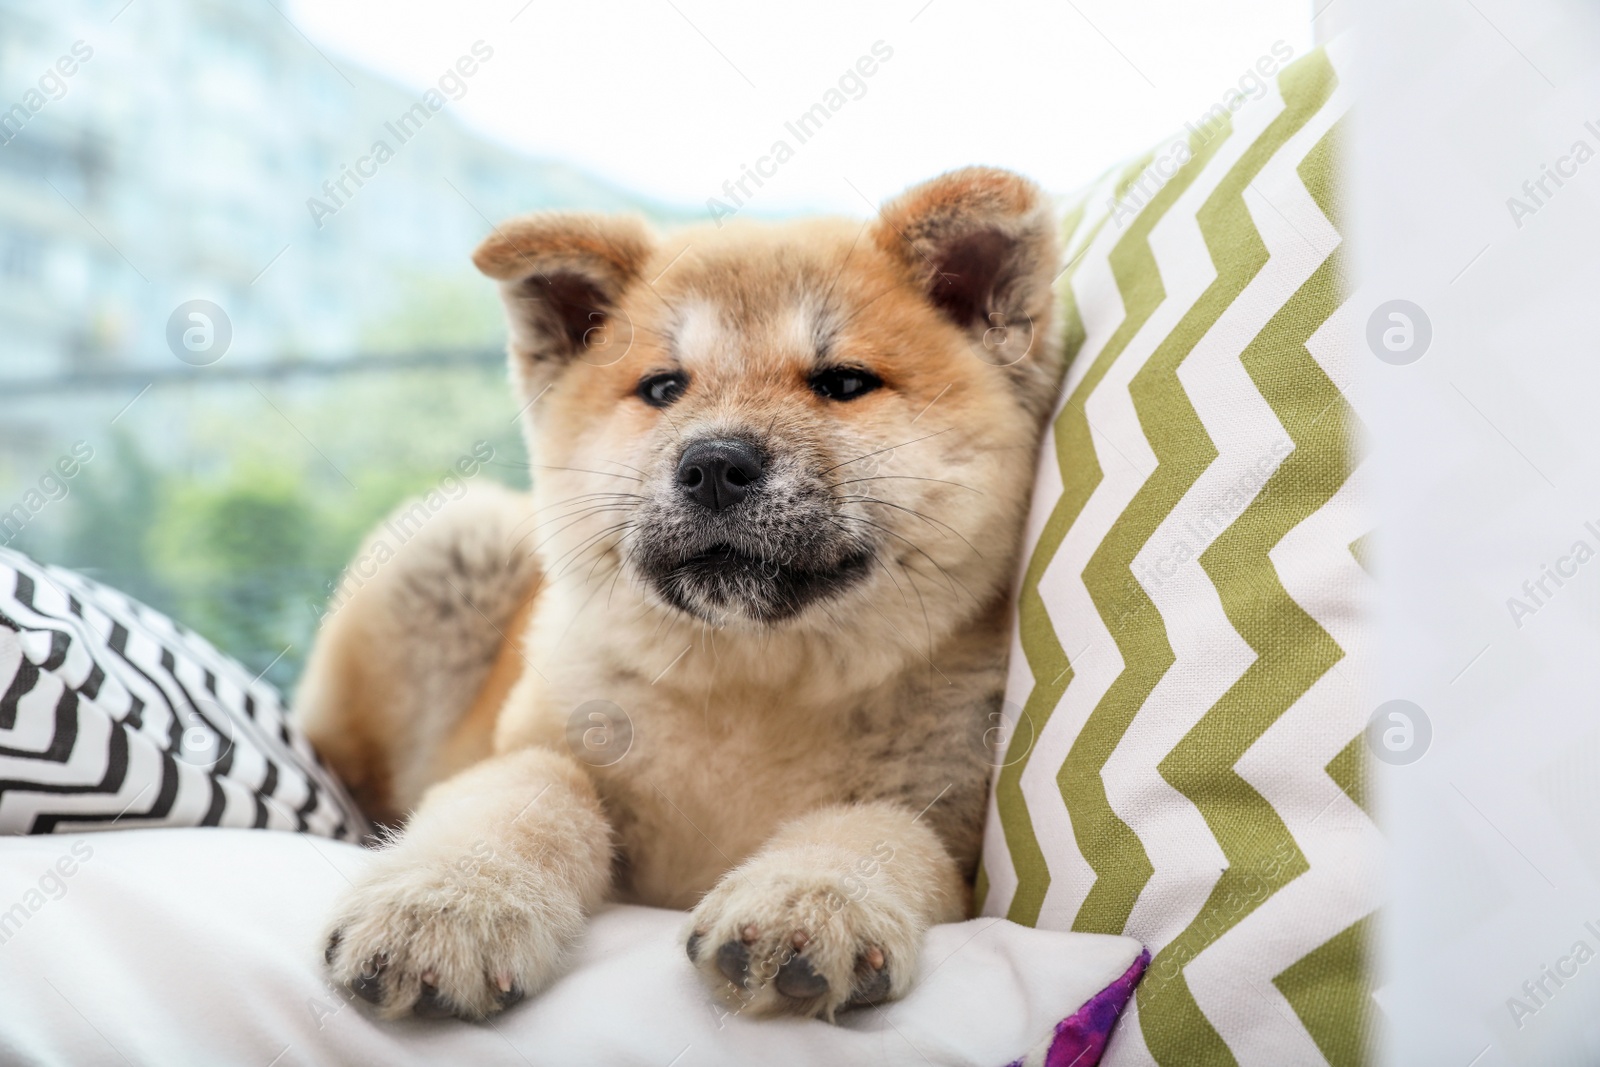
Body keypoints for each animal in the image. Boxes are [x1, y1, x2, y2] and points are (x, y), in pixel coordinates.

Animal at [297, 164, 1062, 1017]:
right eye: (663, 387)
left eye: (844, 383)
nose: (715, 464)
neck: (754, 691)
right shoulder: (522, 750)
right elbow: (534, 787)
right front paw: (446, 902)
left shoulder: (950, 831)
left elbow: (877, 827)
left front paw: (807, 898)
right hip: (457, 537)